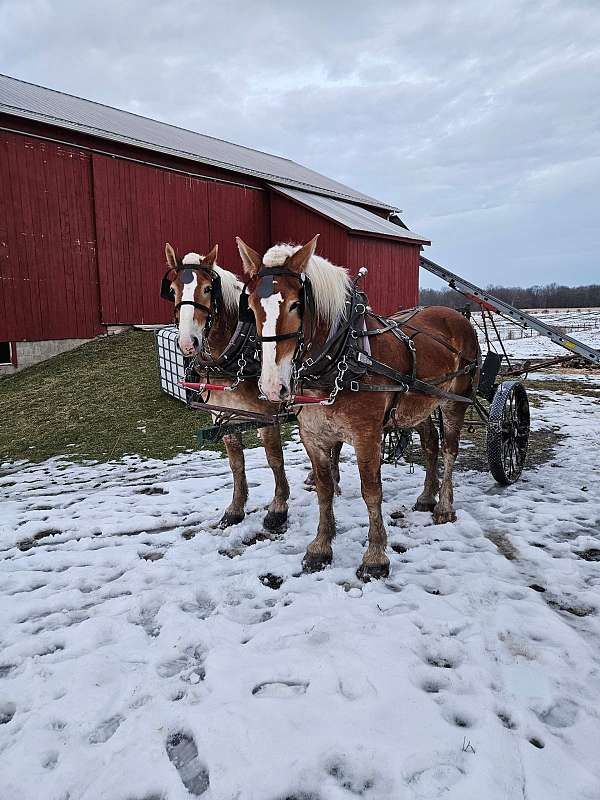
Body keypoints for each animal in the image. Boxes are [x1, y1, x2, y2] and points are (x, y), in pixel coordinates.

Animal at [164, 244, 296, 532]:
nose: (188, 342)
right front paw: (235, 509)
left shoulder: (266, 416)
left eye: (207, 289)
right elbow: (236, 463)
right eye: (173, 290)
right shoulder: (223, 415)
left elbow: (275, 459)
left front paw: (278, 508)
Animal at [237, 234, 480, 580]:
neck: (340, 359)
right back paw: (426, 496)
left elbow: (371, 491)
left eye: (297, 304)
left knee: (449, 450)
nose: (273, 386)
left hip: (453, 400)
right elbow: (324, 488)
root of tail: (456, 315)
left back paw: (444, 505)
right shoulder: (313, 435)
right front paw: (320, 547)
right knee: (431, 445)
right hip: (418, 404)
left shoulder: (367, 435)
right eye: (252, 307)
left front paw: (376, 556)